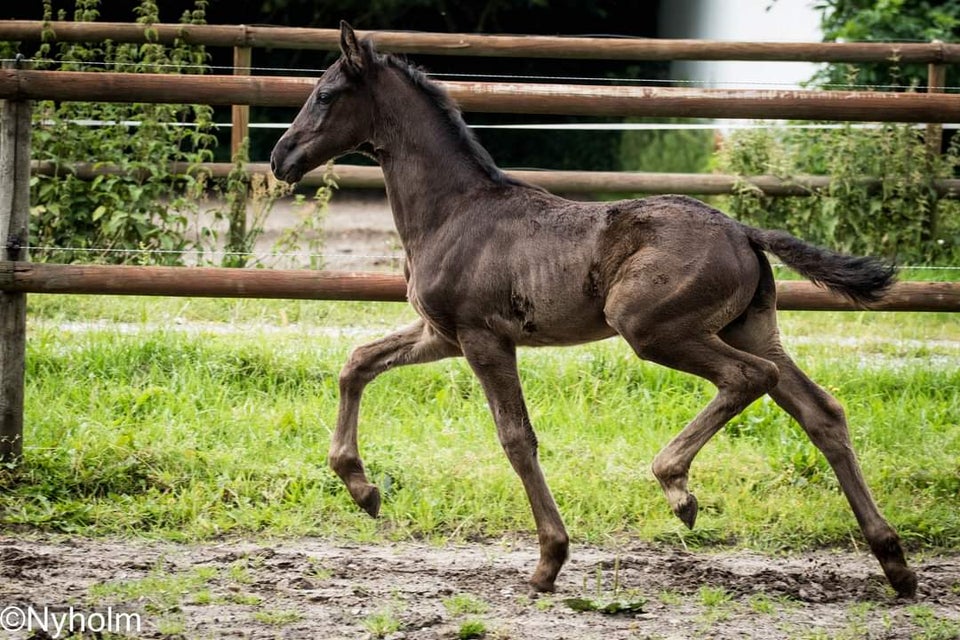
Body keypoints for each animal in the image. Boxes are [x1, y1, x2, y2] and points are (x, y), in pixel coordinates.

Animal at [270, 21, 916, 600]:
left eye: (325, 95)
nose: (280, 157)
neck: (455, 211)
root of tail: (742, 230)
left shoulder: (482, 337)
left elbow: (516, 437)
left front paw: (549, 562)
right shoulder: (440, 334)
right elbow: (357, 362)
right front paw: (362, 489)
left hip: (651, 329)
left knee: (750, 377)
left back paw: (677, 487)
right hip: (750, 328)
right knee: (821, 411)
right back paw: (896, 565)